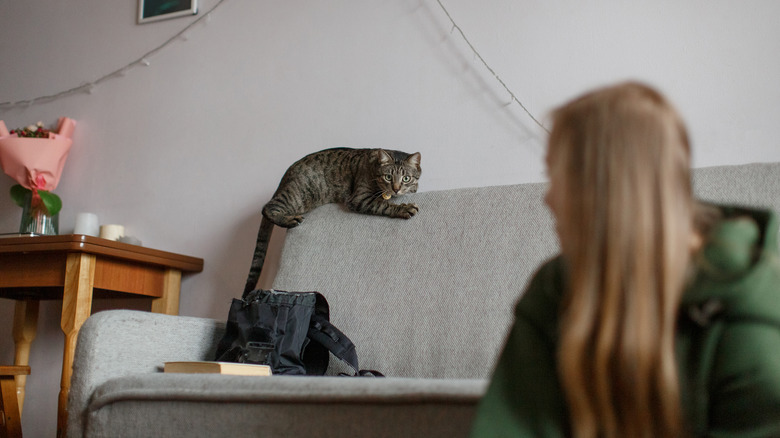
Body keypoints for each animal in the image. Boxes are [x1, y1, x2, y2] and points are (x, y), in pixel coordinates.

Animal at [242, 148, 420, 298]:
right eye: (388, 177)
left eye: (406, 178)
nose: (396, 189)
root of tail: (284, 177)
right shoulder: (360, 198)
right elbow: (384, 204)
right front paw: (404, 208)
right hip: (297, 197)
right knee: (267, 207)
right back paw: (290, 219)